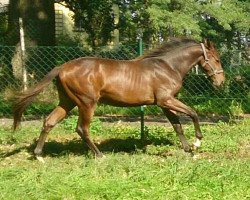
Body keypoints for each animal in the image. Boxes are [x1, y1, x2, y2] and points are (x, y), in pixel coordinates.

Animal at [13, 38, 225, 159]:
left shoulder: (165, 104)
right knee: (82, 128)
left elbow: (177, 125)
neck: (168, 66)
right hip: (86, 103)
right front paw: (197, 143)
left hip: (67, 102)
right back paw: (99, 155)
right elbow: (193, 113)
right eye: (216, 59)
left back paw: (39, 155)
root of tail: (62, 67)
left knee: (49, 122)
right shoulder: (166, 100)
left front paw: (189, 150)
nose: (221, 82)